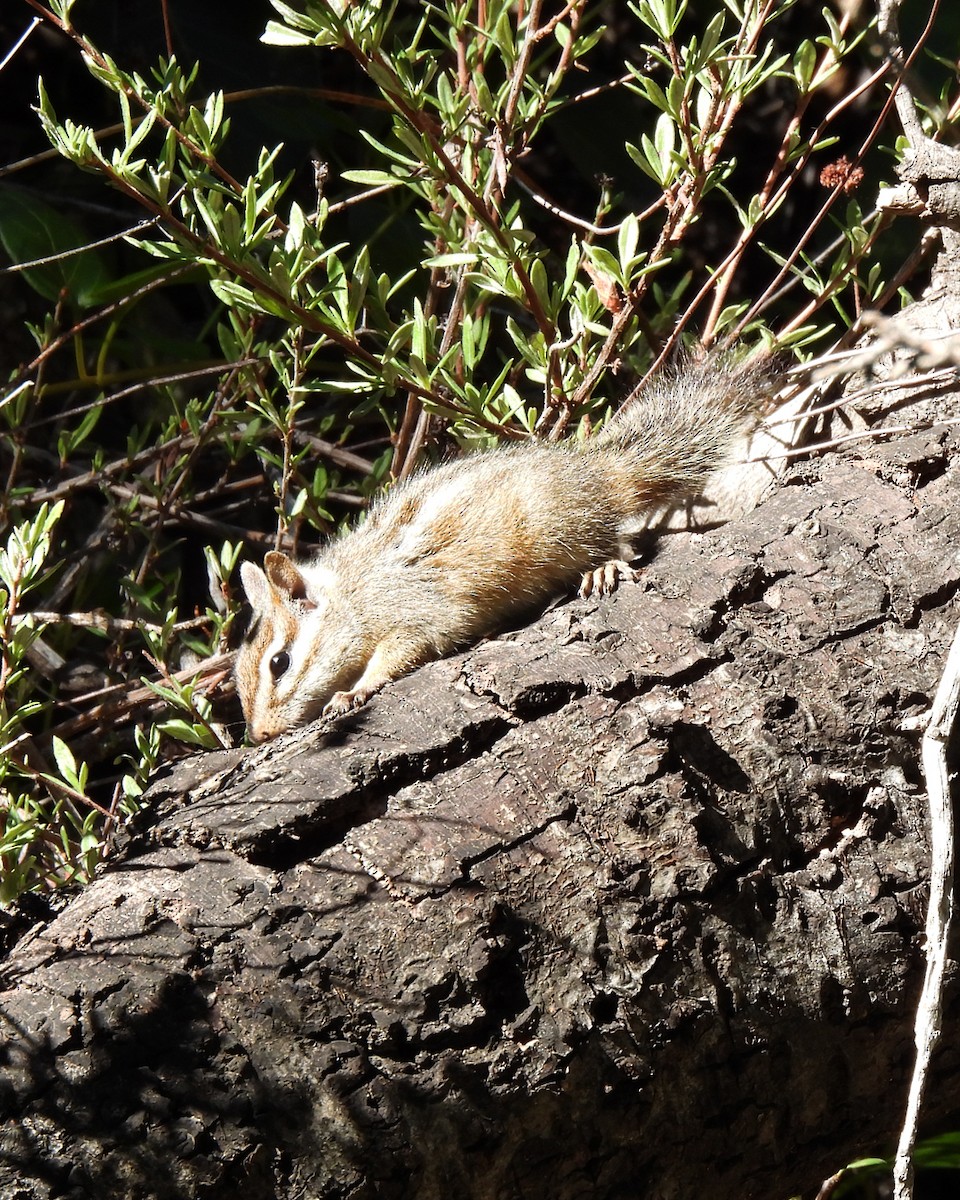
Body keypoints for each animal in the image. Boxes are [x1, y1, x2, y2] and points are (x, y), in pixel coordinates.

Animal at [235, 354, 777, 742]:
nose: (258, 736)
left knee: (620, 543)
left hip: (563, 533)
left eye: (278, 663)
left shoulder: (408, 611)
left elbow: (399, 653)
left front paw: (354, 690)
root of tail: (597, 474)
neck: (352, 593)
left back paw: (602, 570)